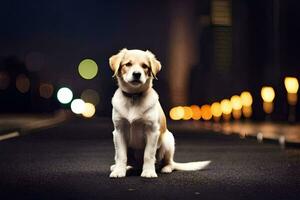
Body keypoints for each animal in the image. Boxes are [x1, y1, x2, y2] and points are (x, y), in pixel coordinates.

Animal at [109, 48, 210, 178]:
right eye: (128, 64)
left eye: (145, 66)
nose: (137, 74)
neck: (134, 96)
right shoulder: (119, 131)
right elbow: (121, 155)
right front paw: (119, 171)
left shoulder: (152, 131)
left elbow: (148, 155)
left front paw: (148, 172)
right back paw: (123, 167)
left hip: (168, 140)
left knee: (168, 163)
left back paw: (165, 168)